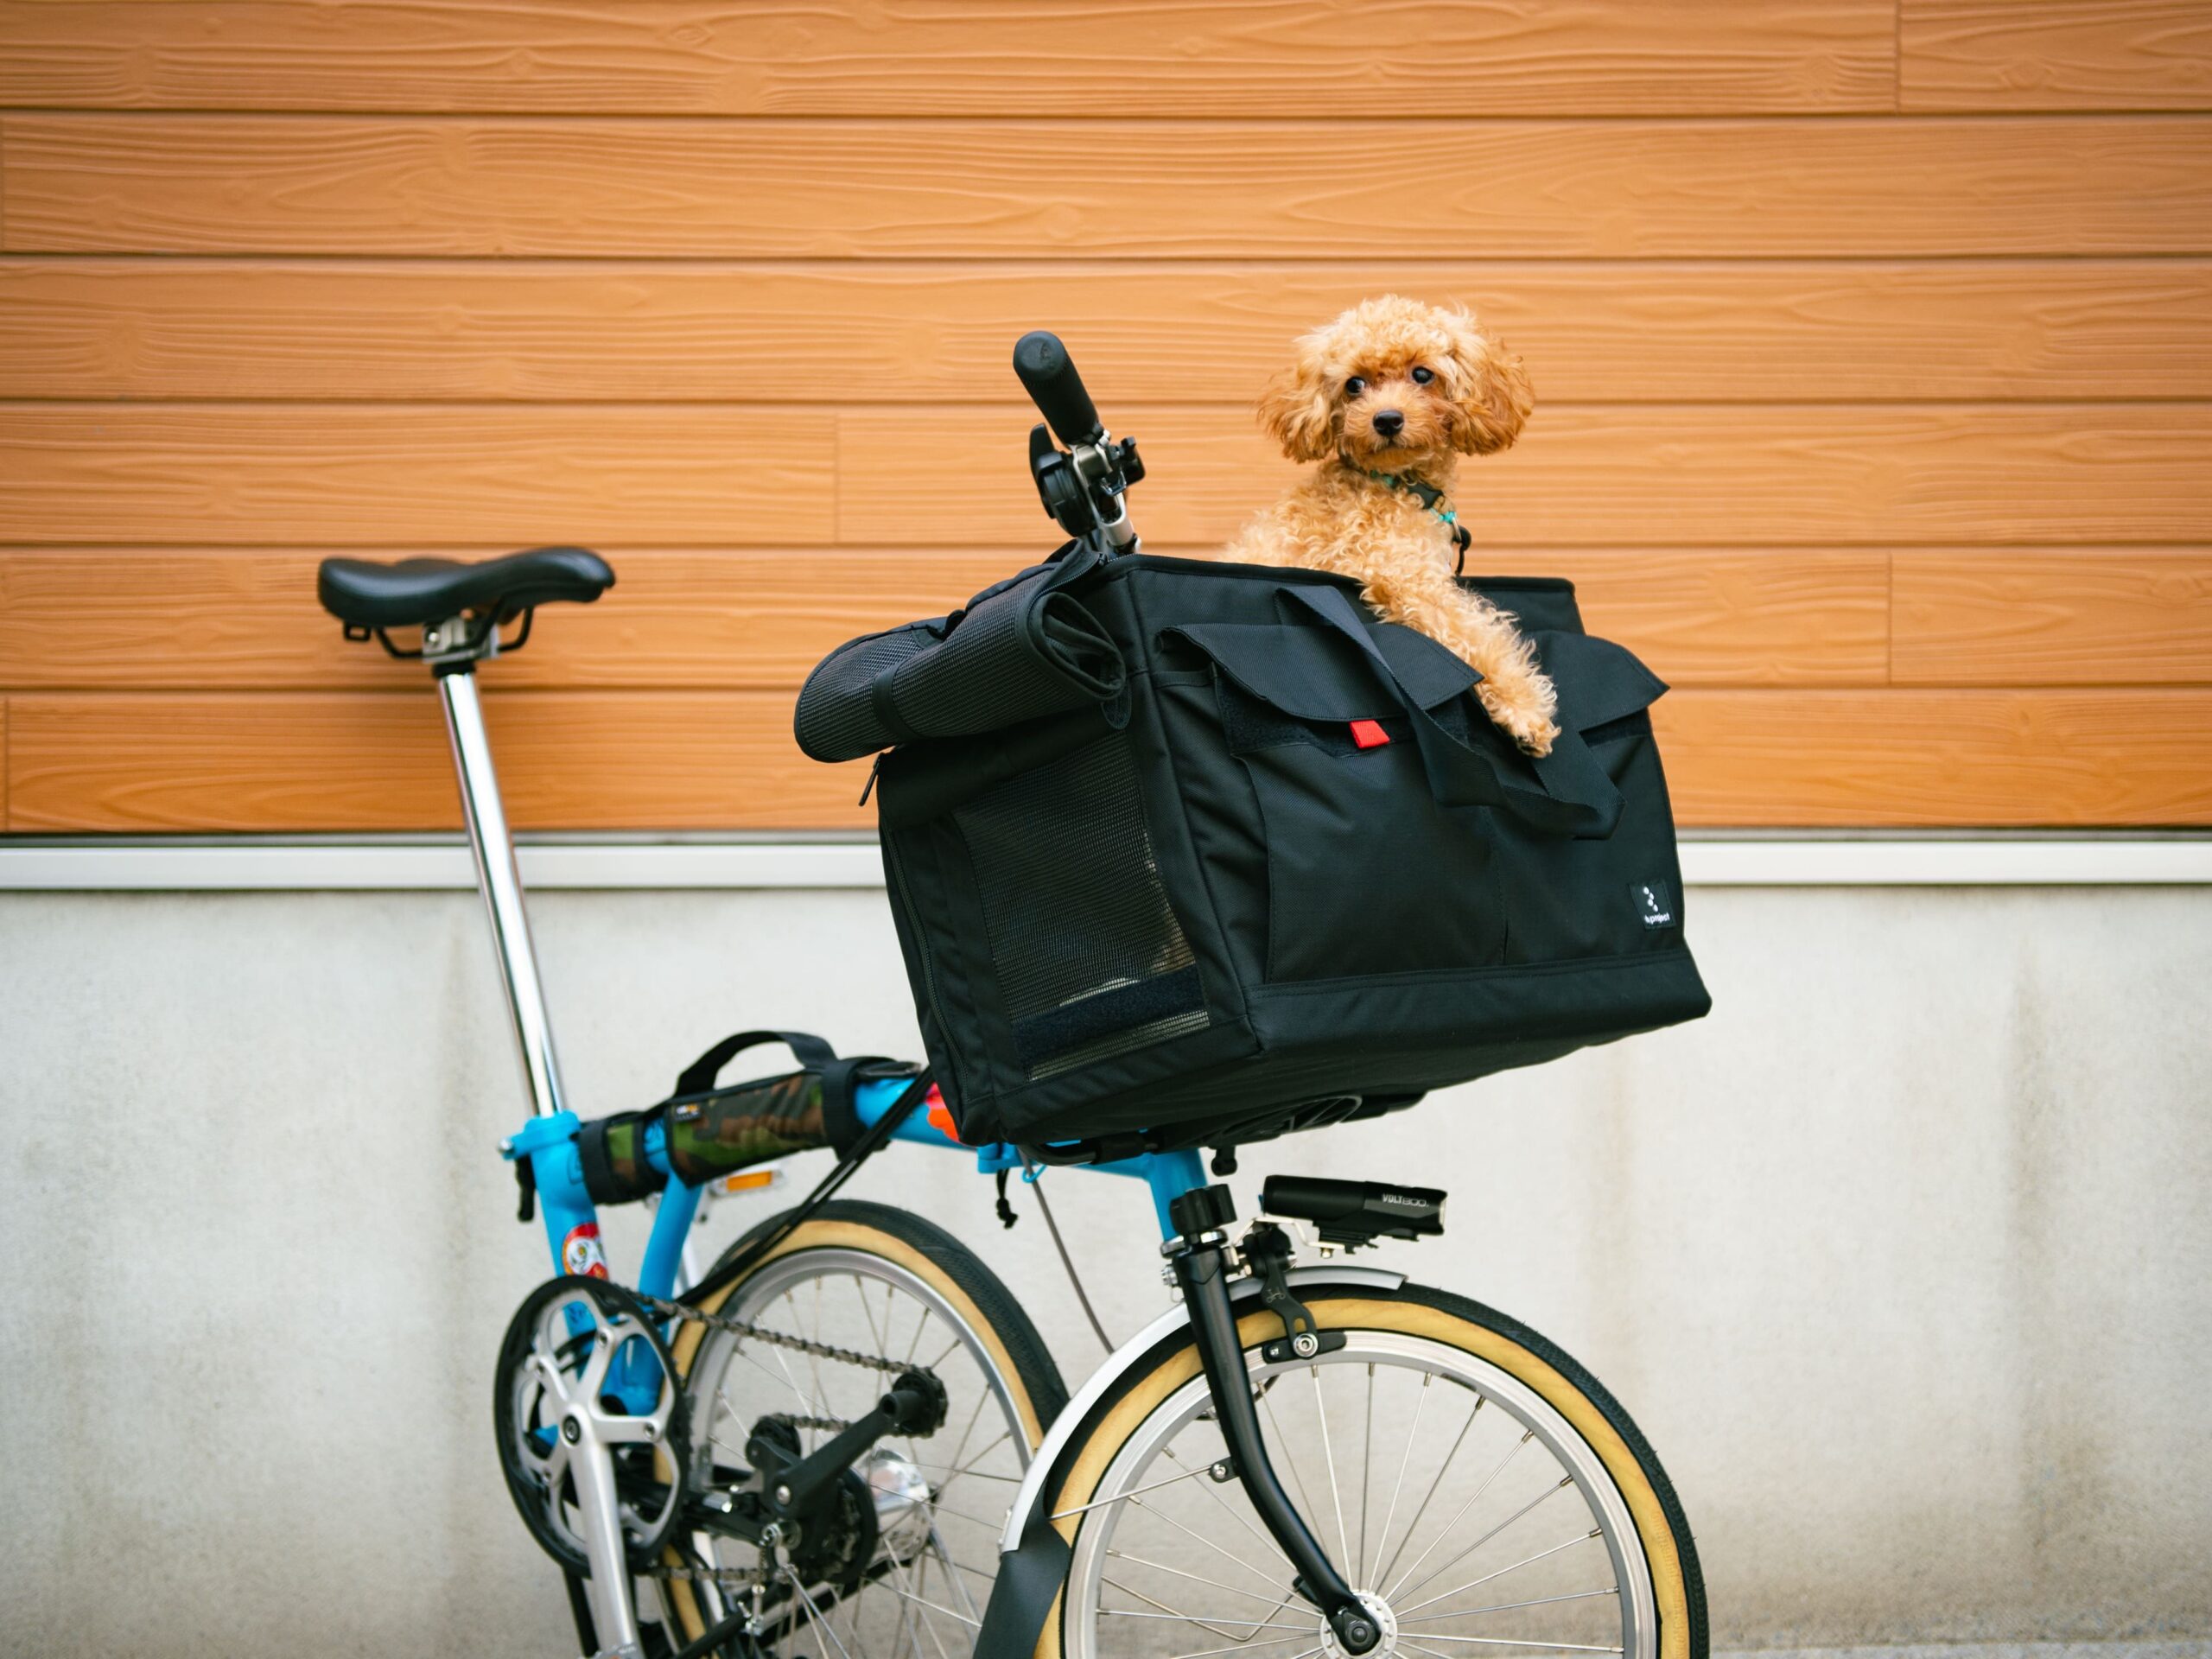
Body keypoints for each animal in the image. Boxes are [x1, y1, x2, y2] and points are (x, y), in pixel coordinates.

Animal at [1226, 295, 1557, 757]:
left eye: (1422, 374)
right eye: (1354, 384)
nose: (1386, 419)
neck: (1394, 484)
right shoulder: (1402, 574)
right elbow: (1475, 633)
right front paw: (1524, 710)